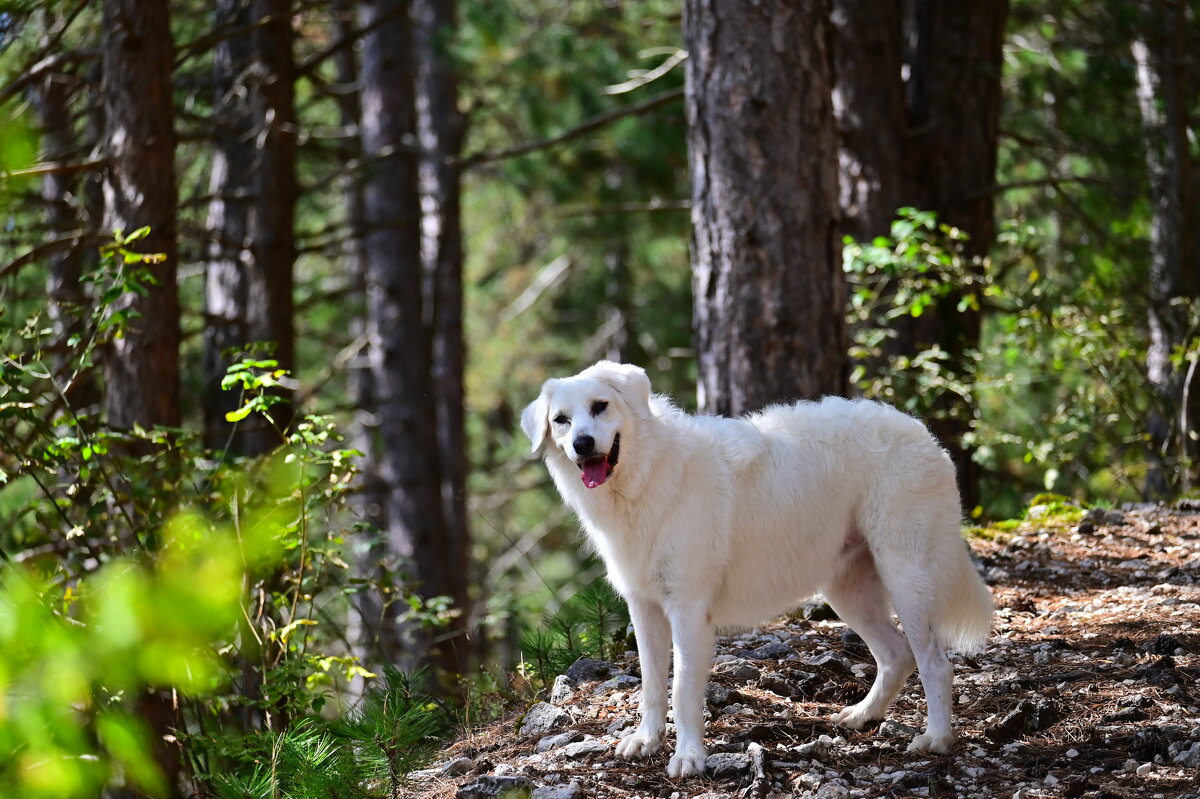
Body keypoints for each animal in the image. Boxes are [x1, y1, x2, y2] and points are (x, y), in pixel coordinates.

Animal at [520, 359, 998, 772]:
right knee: (897, 656)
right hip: (847, 591)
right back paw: (861, 716)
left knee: (935, 663)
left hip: (905, 578)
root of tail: (921, 431)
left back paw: (936, 739)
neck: (644, 481)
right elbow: (652, 686)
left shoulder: (688, 611)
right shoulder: (645, 607)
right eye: (561, 420)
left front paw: (688, 758)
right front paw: (646, 741)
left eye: (600, 406)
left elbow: (681, 689)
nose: (582, 444)